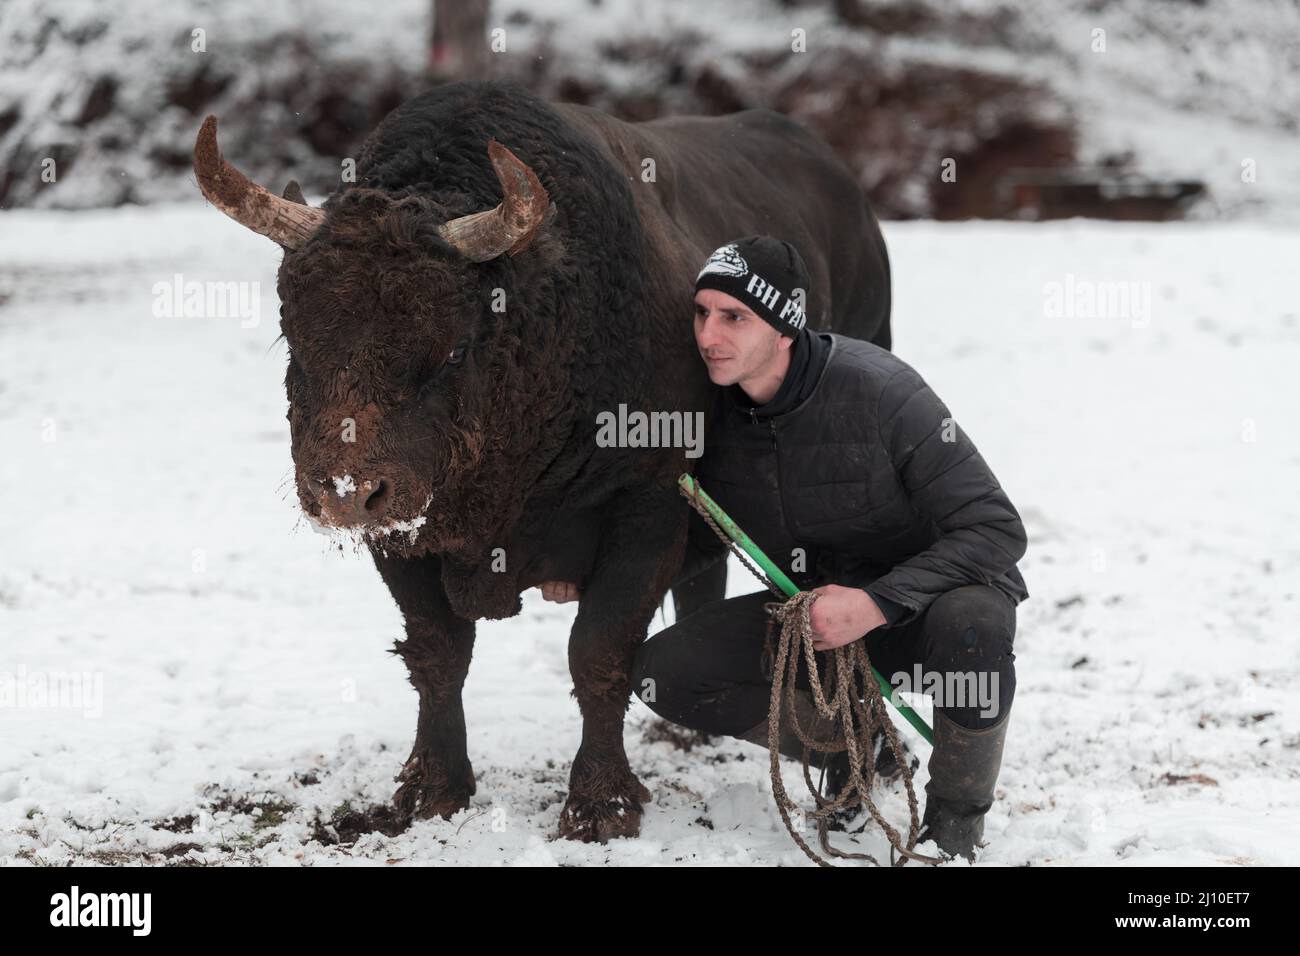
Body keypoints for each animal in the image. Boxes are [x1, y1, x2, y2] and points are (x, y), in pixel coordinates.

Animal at [192, 78, 890, 842]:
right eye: (293, 337)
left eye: (453, 349)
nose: (345, 491)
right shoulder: (403, 533)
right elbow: (438, 652)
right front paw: (432, 787)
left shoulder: (646, 505)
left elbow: (599, 653)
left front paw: (600, 804)